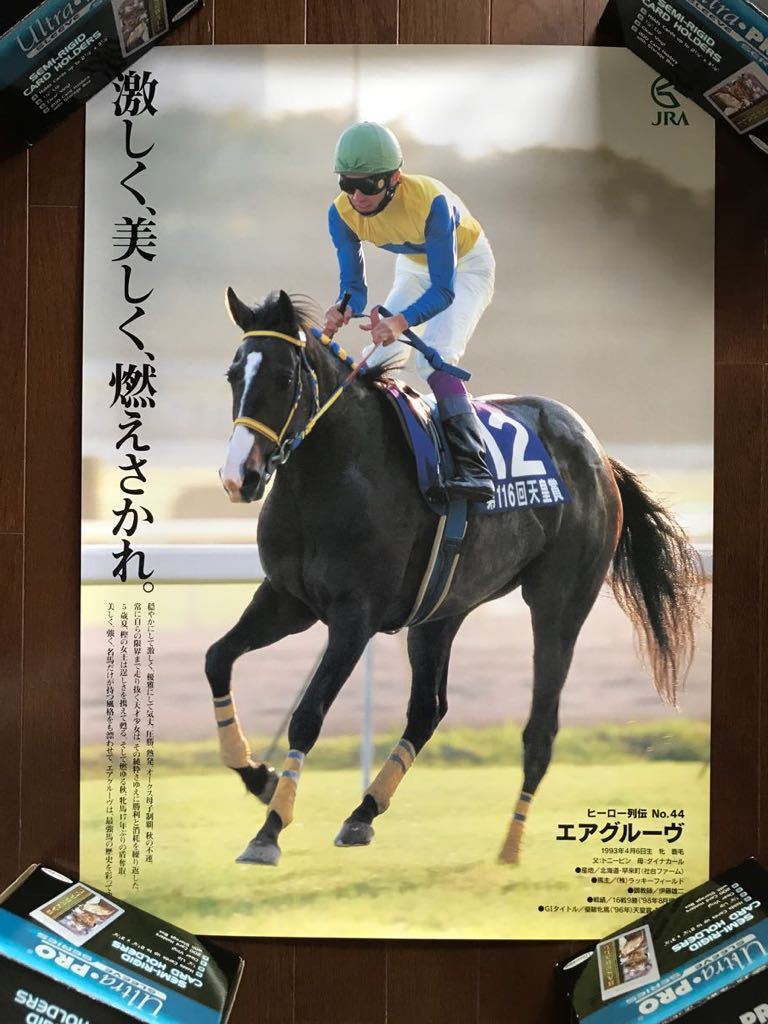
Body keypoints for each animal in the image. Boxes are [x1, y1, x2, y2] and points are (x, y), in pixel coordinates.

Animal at [205, 287, 702, 867]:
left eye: (284, 378)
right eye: (233, 375)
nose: (239, 478)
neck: (331, 476)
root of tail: (599, 455)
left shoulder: (355, 617)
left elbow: (308, 713)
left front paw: (269, 831)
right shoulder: (288, 600)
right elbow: (217, 658)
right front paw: (256, 776)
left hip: (560, 602)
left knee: (541, 727)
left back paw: (510, 844)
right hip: (441, 609)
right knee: (428, 709)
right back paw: (363, 813)